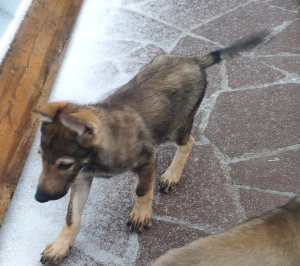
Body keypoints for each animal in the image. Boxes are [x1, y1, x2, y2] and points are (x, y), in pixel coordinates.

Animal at [34, 32, 266, 264]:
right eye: (41, 157)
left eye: (64, 165)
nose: (38, 198)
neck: (98, 156)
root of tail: (192, 60)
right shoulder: (82, 178)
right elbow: (71, 216)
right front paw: (60, 246)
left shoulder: (148, 158)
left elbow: (142, 190)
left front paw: (141, 214)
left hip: (175, 126)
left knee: (188, 142)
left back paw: (172, 175)